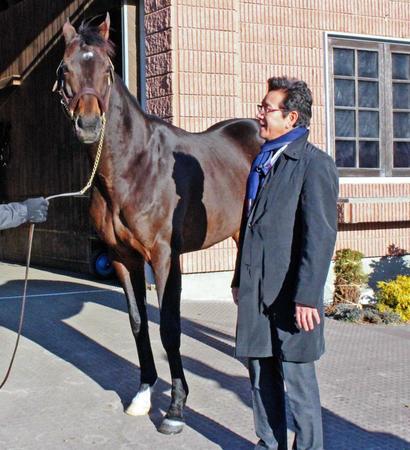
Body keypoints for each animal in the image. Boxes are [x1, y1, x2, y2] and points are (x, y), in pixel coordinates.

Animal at [55, 14, 260, 434]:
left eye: (108, 69)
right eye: (65, 69)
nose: (89, 124)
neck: (134, 167)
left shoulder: (164, 257)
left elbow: (168, 326)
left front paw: (176, 408)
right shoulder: (122, 258)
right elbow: (139, 323)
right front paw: (143, 394)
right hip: (239, 232)